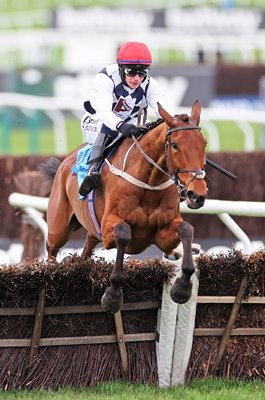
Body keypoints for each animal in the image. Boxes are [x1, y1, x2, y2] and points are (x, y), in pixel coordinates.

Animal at [40, 100, 207, 312]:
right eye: (175, 145)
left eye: (204, 144)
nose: (197, 195)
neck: (149, 182)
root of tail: (64, 162)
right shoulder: (110, 226)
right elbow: (123, 232)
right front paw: (112, 296)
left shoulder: (163, 234)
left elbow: (187, 229)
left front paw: (182, 288)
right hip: (59, 226)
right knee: (51, 248)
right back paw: (50, 274)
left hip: (91, 229)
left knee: (88, 245)